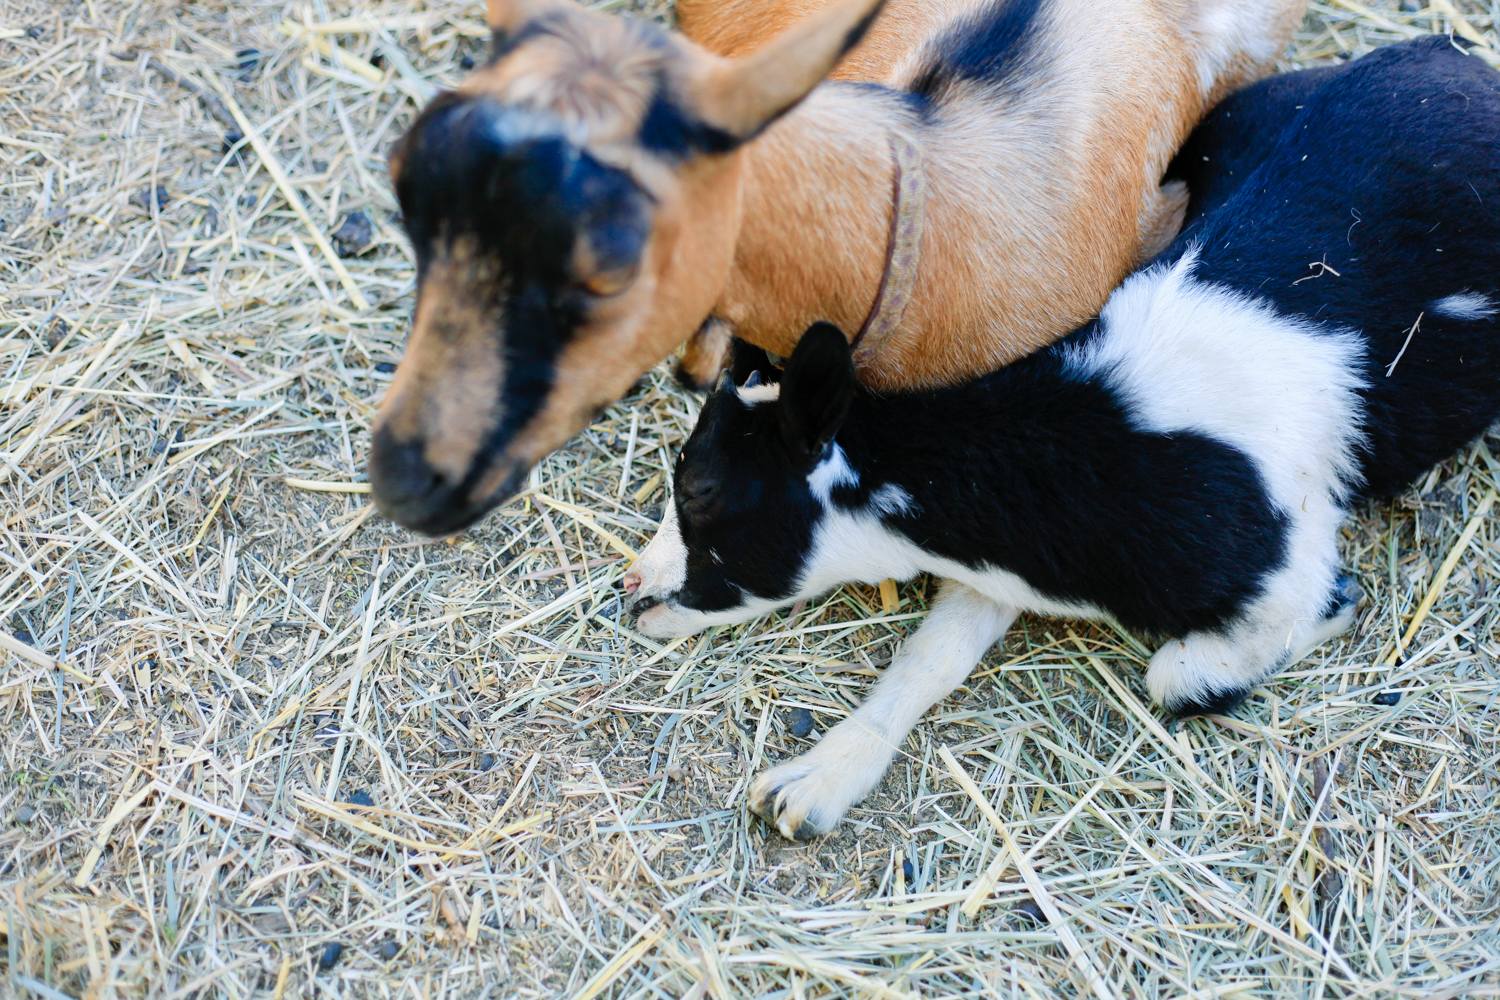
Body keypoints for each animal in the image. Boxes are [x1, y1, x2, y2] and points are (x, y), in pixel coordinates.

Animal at [624, 37, 1500, 840]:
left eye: (700, 490)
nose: (634, 591)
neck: (1089, 439)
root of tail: (1450, 57)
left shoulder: (1289, 572)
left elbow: (1181, 674)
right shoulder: (1007, 554)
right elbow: (931, 656)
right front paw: (824, 775)